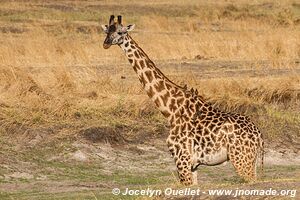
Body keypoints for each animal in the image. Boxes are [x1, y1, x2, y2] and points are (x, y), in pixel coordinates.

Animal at [100, 15, 262, 186]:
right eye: (106, 31)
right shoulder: (192, 165)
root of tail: (259, 136)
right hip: (250, 161)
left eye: (121, 32)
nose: (106, 43)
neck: (170, 110)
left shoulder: (181, 158)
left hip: (241, 160)